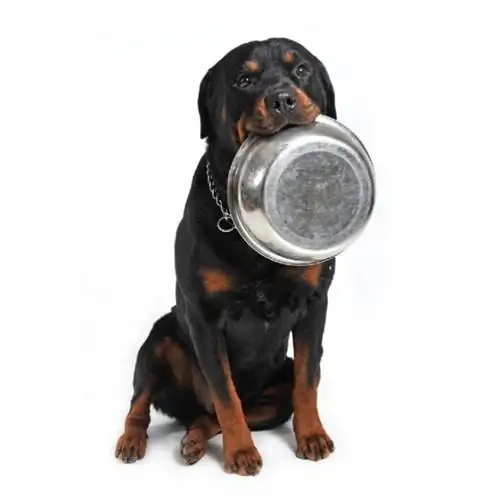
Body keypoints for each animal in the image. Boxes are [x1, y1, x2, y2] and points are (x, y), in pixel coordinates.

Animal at [115, 37, 338, 474]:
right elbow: (224, 394)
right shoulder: (204, 317)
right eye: (244, 80)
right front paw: (240, 453)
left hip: (276, 388)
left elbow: (308, 378)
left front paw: (313, 436)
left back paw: (193, 440)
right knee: (143, 400)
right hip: (160, 338)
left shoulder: (314, 302)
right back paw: (132, 440)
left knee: (214, 414)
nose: (283, 98)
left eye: (301, 69)